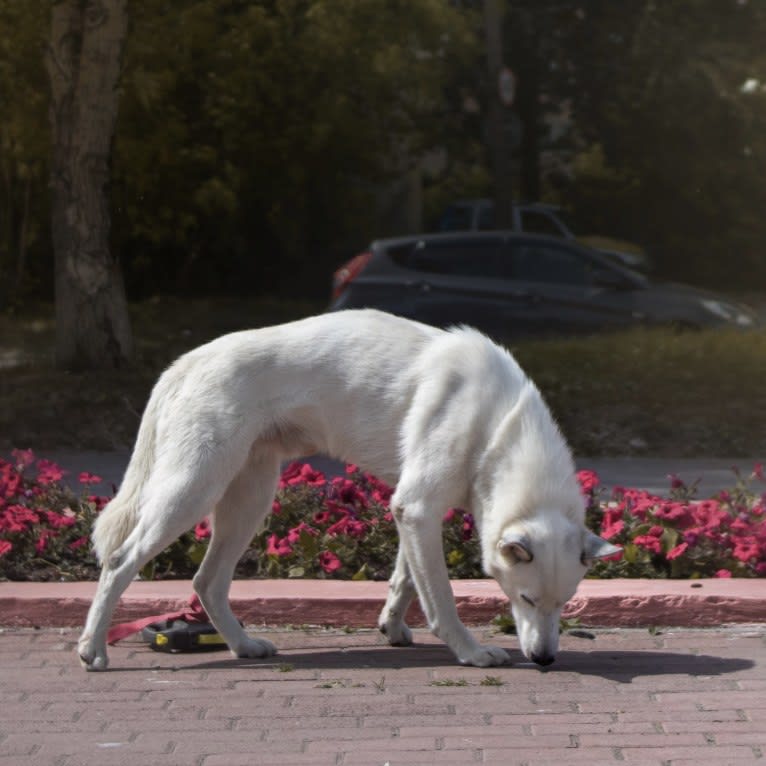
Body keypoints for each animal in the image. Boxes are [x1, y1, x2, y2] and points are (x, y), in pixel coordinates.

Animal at [76, 312, 616, 672]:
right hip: (192, 490)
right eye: (524, 598)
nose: (545, 659)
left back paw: (244, 646)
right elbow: (440, 598)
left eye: (566, 603)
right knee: (120, 561)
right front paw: (469, 650)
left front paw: (393, 628)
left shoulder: (414, 513)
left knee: (206, 582)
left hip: (249, 501)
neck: (497, 425)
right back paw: (92, 649)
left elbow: (405, 582)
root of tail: (187, 360)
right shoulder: (419, 509)